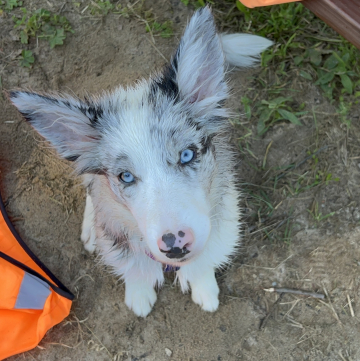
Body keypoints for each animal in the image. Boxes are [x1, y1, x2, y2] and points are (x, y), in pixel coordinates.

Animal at [8, 6, 272, 316]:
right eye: (126, 176)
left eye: (186, 155)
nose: (174, 244)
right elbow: (133, 266)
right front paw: (139, 292)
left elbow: (205, 260)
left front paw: (204, 287)